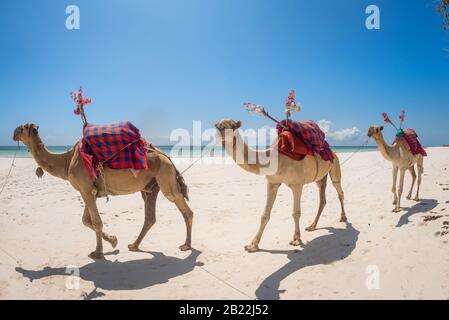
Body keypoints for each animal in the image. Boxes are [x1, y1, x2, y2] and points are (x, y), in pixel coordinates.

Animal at [13, 124, 192, 258]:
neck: (67, 160)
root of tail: (167, 157)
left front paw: (98, 252)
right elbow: (86, 220)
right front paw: (113, 241)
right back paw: (134, 245)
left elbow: (96, 222)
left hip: (165, 177)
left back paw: (186, 246)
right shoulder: (87, 191)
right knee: (150, 218)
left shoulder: (86, 189)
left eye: (22, 128)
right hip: (150, 187)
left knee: (185, 209)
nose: (14, 133)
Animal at [214, 119, 346, 251]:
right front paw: (253, 245)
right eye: (217, 125)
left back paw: (343, 217)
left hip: (335, 164)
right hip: (321, 177)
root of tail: (333, 152)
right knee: (322, 198)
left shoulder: (297, 184)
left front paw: (296, 239)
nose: (220, 131)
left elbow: (296, 213)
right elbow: (265, 214)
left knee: (339, 189)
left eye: (232, 126)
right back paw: (312, 226)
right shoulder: (272, 182)